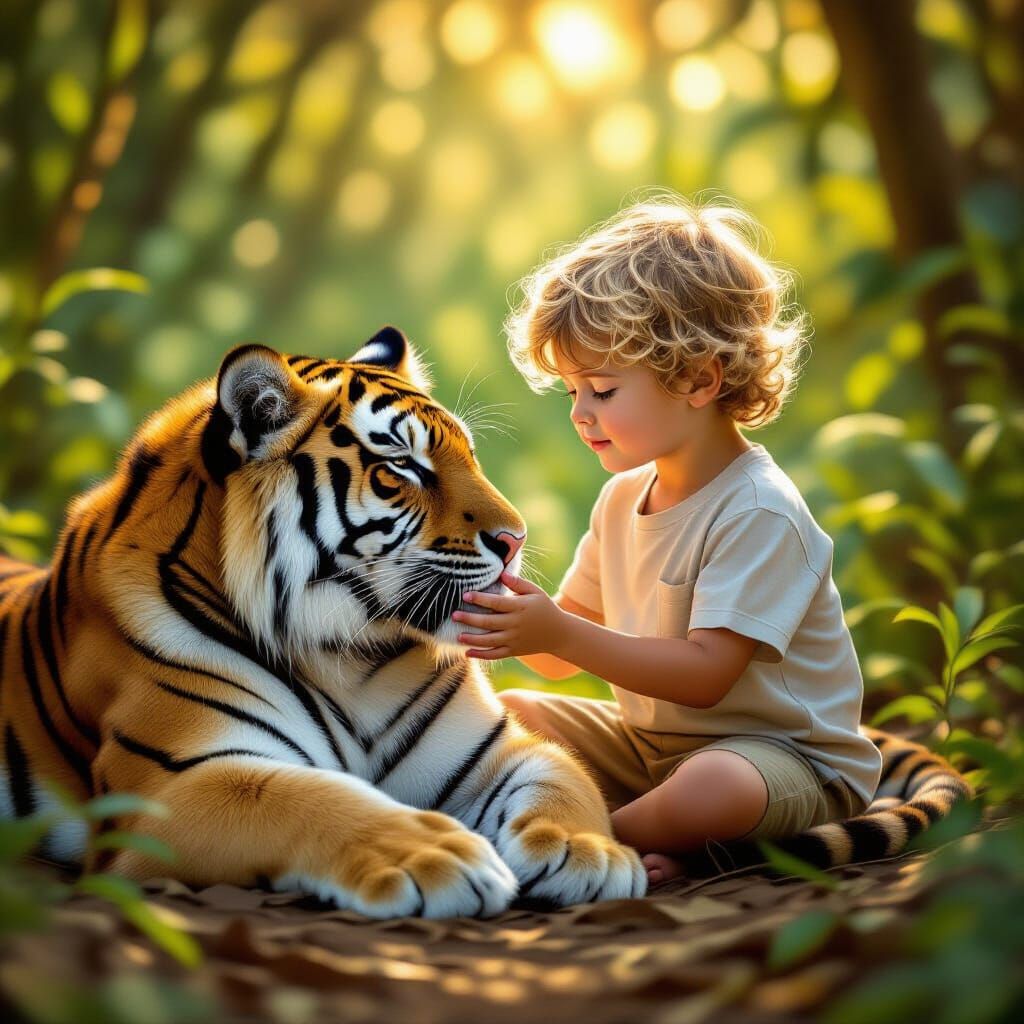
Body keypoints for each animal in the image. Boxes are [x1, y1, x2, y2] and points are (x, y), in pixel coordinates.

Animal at [0, 326, 647, 918]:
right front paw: (436, 855)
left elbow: (564, 778)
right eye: (401, 467)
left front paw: (590, 853)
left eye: (469, 455)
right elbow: (301, 796)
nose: (516, 539)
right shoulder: (167, 787)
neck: (348, 656)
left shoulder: (494, 748)